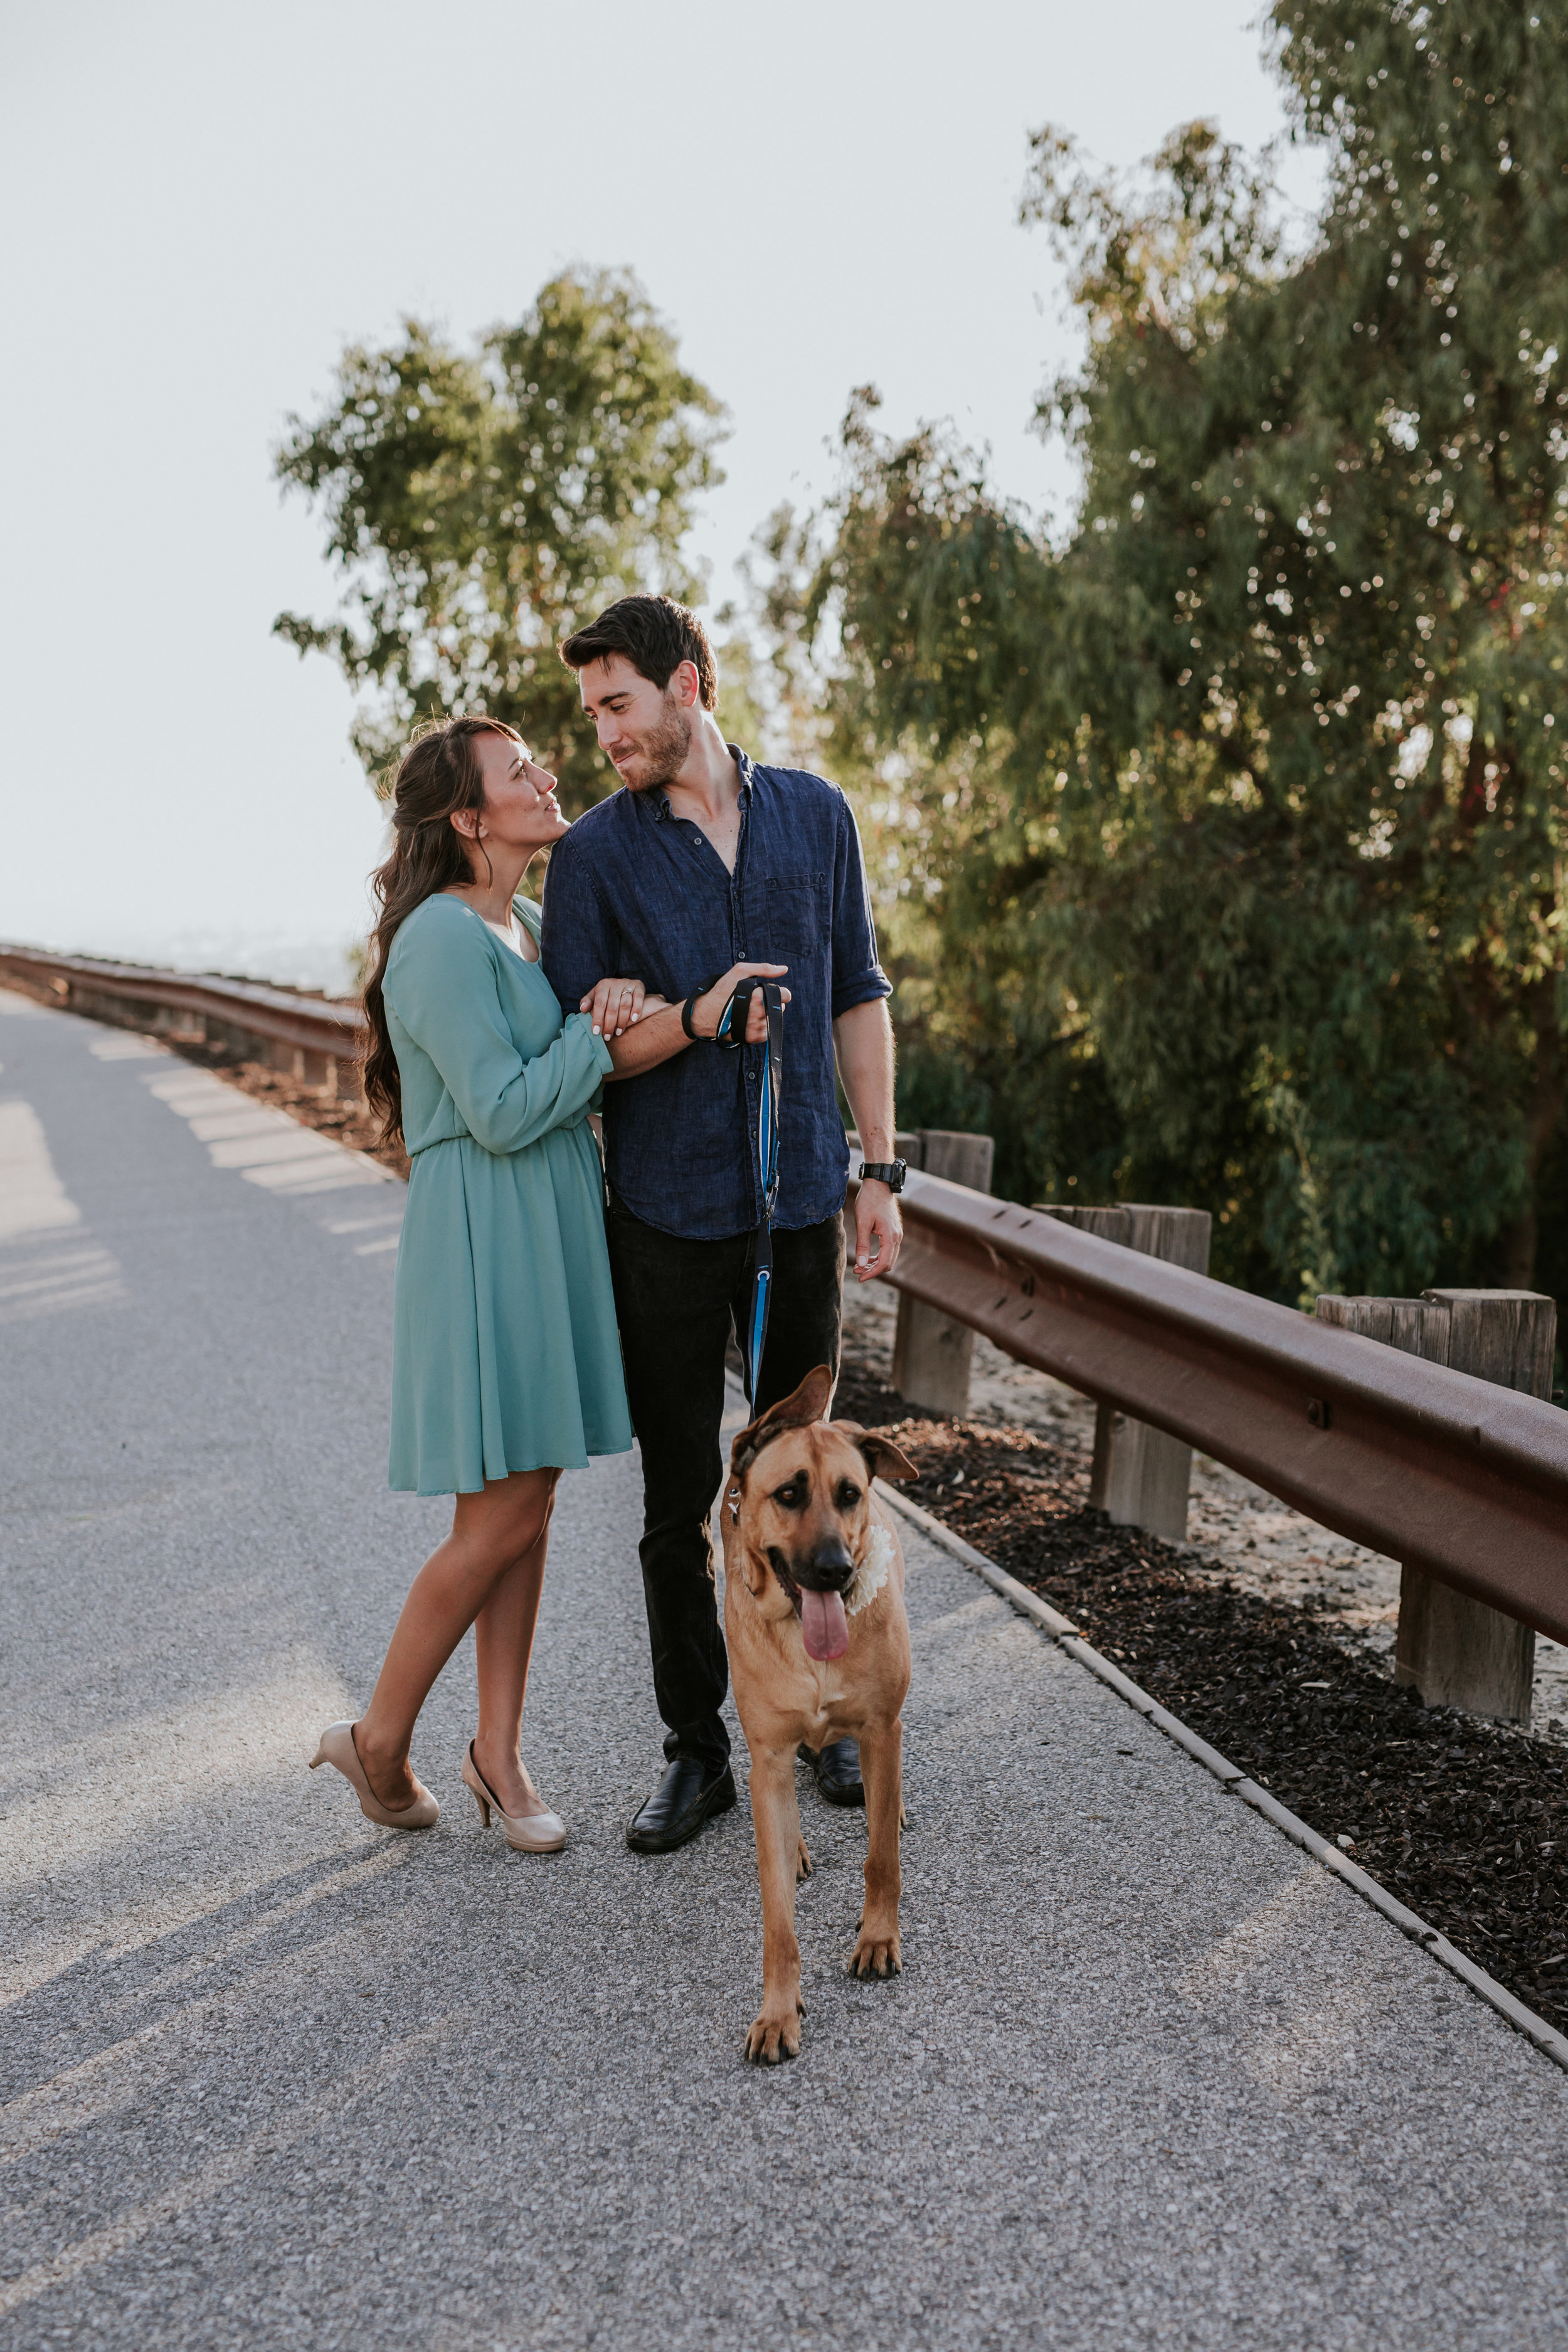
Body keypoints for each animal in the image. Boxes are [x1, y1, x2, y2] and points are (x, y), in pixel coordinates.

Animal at [719, 1364, 921, 2060]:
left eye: (849, 1494)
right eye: (788, 1494)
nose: (837, 1571)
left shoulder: (882, 1732)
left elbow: (881, 1858)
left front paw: (878, 1938)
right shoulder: (770, 1757)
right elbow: (777, 1916)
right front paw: (778, 2011)